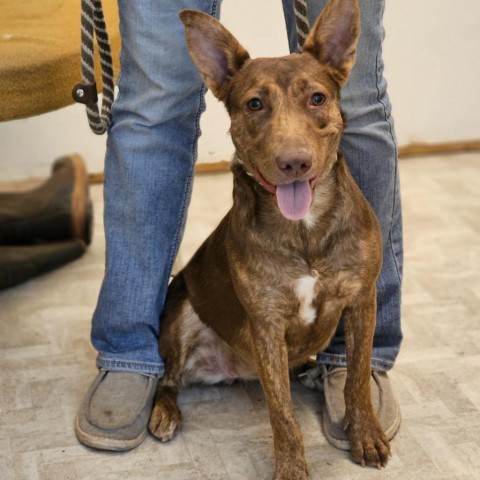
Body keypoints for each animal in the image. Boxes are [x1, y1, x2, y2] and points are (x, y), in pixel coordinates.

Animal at [149, 1, 390, 478]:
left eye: (317, 98)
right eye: (255, 104)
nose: (294, 163)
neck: (304, 230)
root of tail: (226, 370)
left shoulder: (361, 298)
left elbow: (356, 378)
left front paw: (365, 433)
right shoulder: (266, 323)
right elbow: (282, 413)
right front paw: (292, 467)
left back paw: (313, 373)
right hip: (181, 308)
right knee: (167, 379)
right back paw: (165, 413)